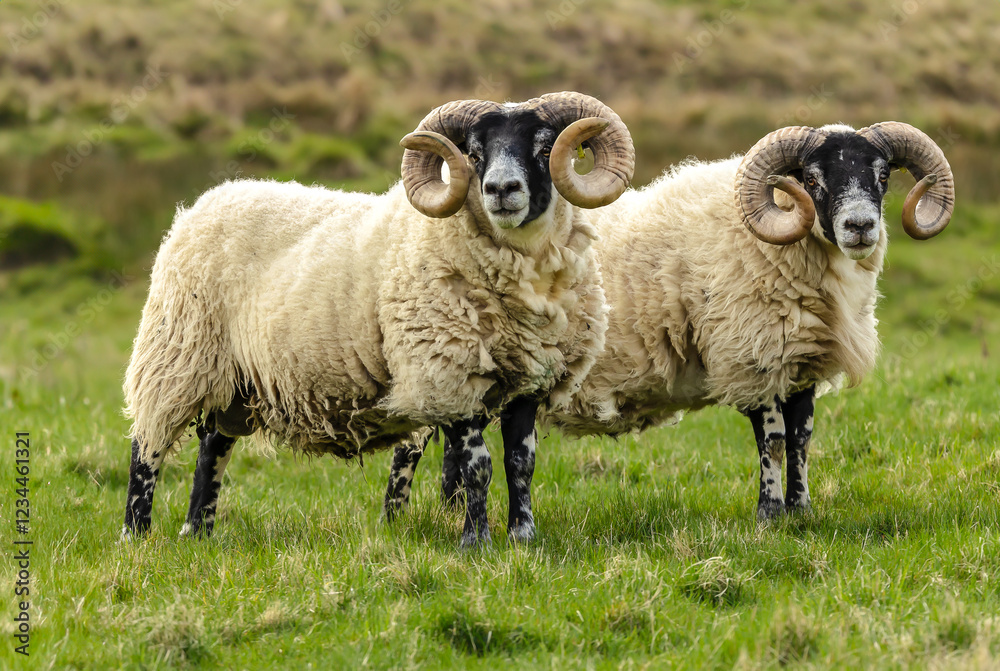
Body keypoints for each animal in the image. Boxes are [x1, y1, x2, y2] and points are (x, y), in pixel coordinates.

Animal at [121, 91, 635, 547]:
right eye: (473, 153)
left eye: (545, 147)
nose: (500, 190)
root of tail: (204, 202)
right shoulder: (446, 377)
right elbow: (477, 466)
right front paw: (476, 542)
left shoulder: (530, 380)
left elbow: (520, 464)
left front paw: (524, 538)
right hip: (176, 354)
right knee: (147, 447)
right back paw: (136, 535)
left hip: (234, 378)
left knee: (212, 444)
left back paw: (198, 531)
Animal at [387, 122, 954, 523]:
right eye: (812, 179)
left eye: (883, 176)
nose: (860, 226)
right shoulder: (749, 357)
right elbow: (772, 442)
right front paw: (770, 517)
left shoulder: (798, 366)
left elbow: (801, 441)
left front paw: (801, 511)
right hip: (440, 357)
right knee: (408, 450)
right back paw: (400, 525)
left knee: (454, 452)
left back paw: (450, 515)